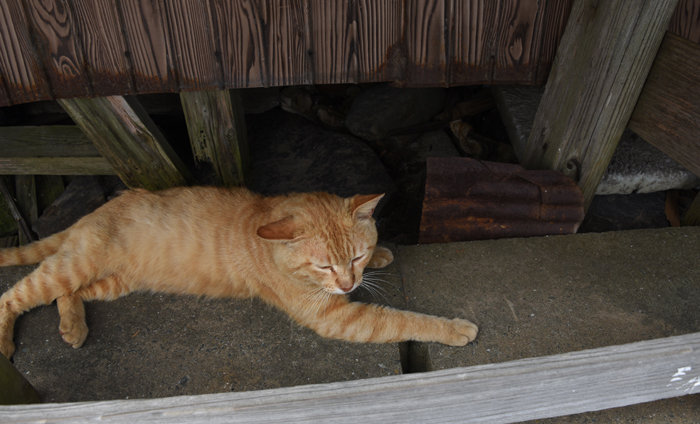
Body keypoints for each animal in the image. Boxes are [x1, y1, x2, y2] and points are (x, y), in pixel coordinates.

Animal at [0, 187, 476, 360]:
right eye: (323, 265)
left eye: (356, 257)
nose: (348, 283)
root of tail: (94, 211)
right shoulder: (336, 316)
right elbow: (401, 319)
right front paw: (453, 328)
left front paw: (381, 257)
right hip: (73, 265)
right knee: (15, 296)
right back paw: (6, 343)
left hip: (111, 282)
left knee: (68, 294)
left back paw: (72, 326)